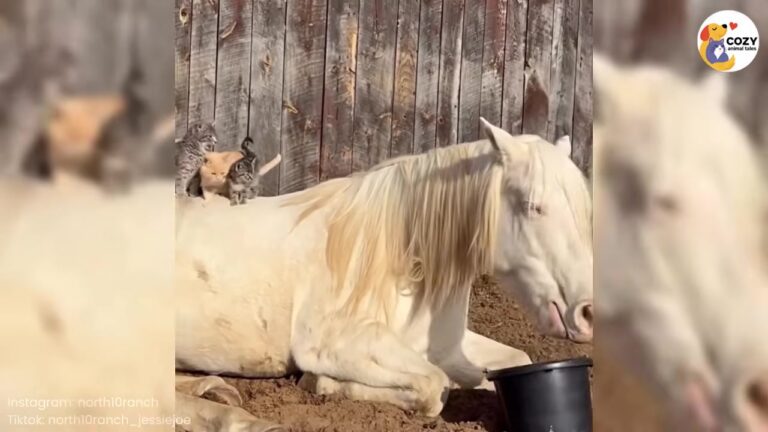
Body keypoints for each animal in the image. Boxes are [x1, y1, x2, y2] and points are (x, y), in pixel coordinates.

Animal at [175, 119, 593, 431]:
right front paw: (323, 383)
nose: (586, 313)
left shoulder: (444, 346)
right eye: (532, 206)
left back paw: (217, 392)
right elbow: (434, 387)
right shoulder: (338, 344)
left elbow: (510, 361)